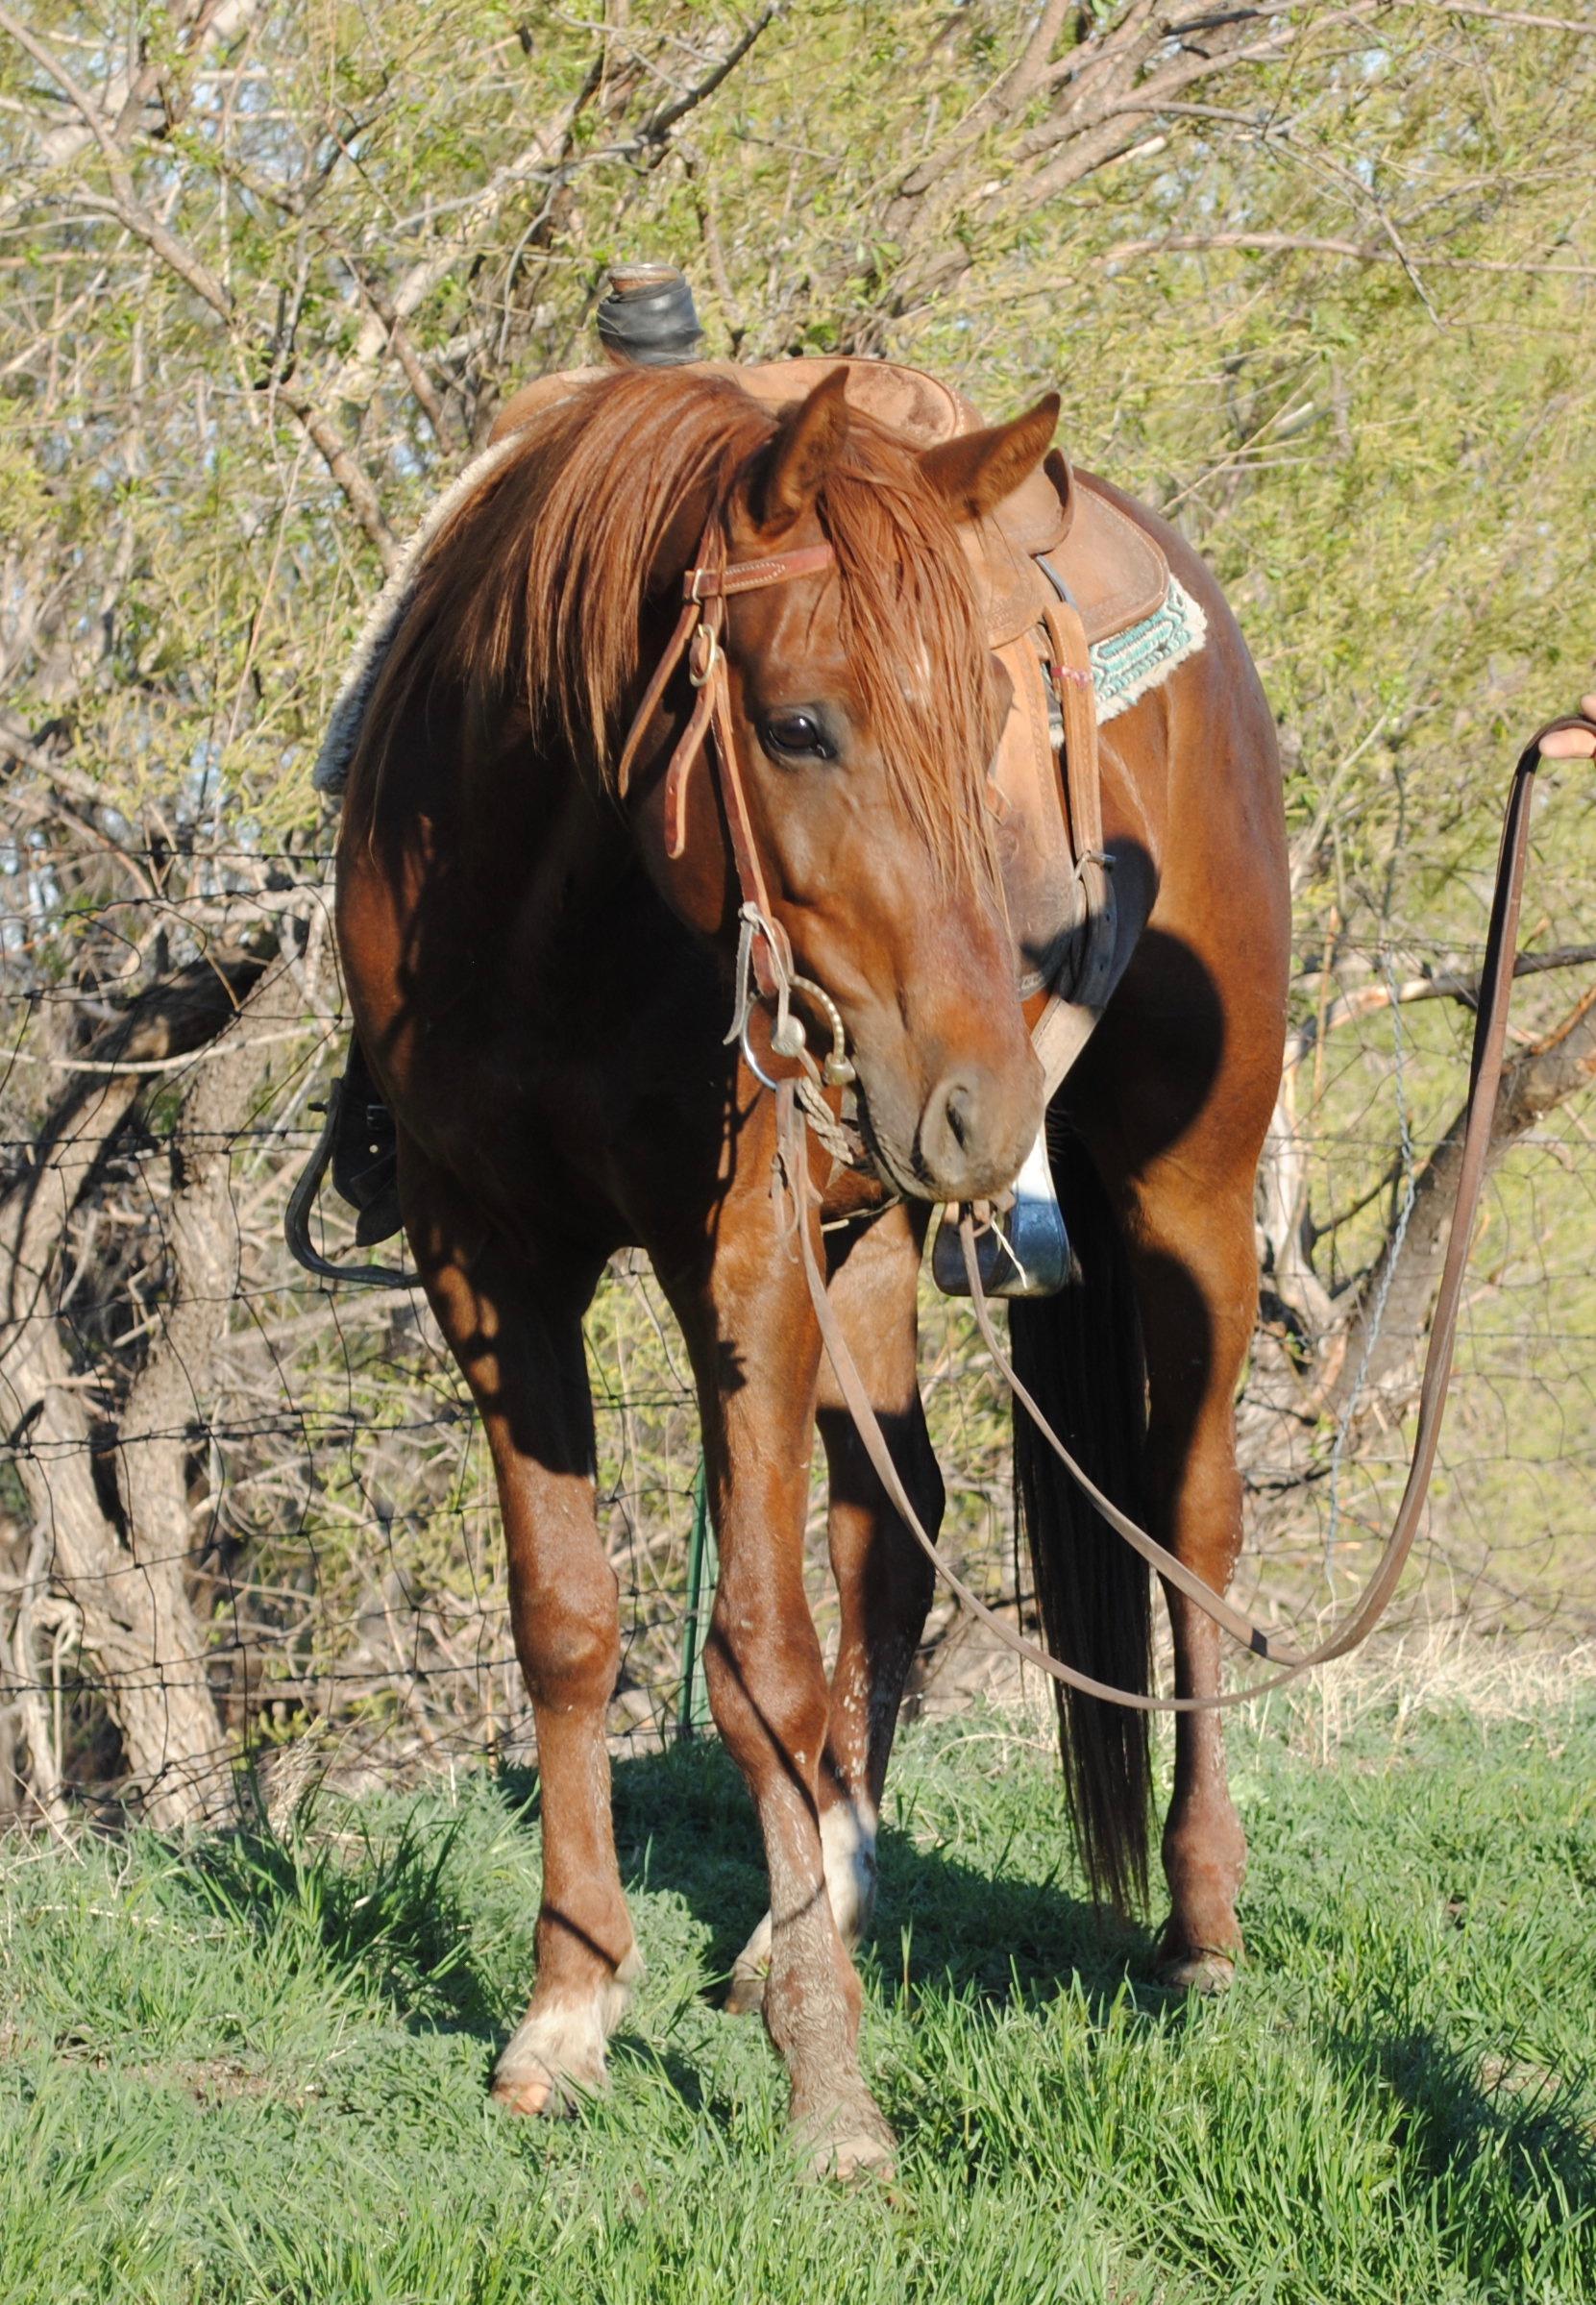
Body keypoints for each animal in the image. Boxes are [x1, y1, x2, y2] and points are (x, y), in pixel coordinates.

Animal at [330, 364, 1291, 2175]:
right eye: (797, 725)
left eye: (989, 714)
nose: (984, 1101)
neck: (559, 902)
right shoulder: (485, 1254)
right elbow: (568, 1620)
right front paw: (570, 2001)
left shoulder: (746, 1251)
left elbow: (755, 1652)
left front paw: (829, 2091)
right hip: (878, 1229)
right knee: (894, 1522)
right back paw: (814, 1903)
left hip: (1184, 1189)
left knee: (1189, 1521)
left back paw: (1199, 1927)